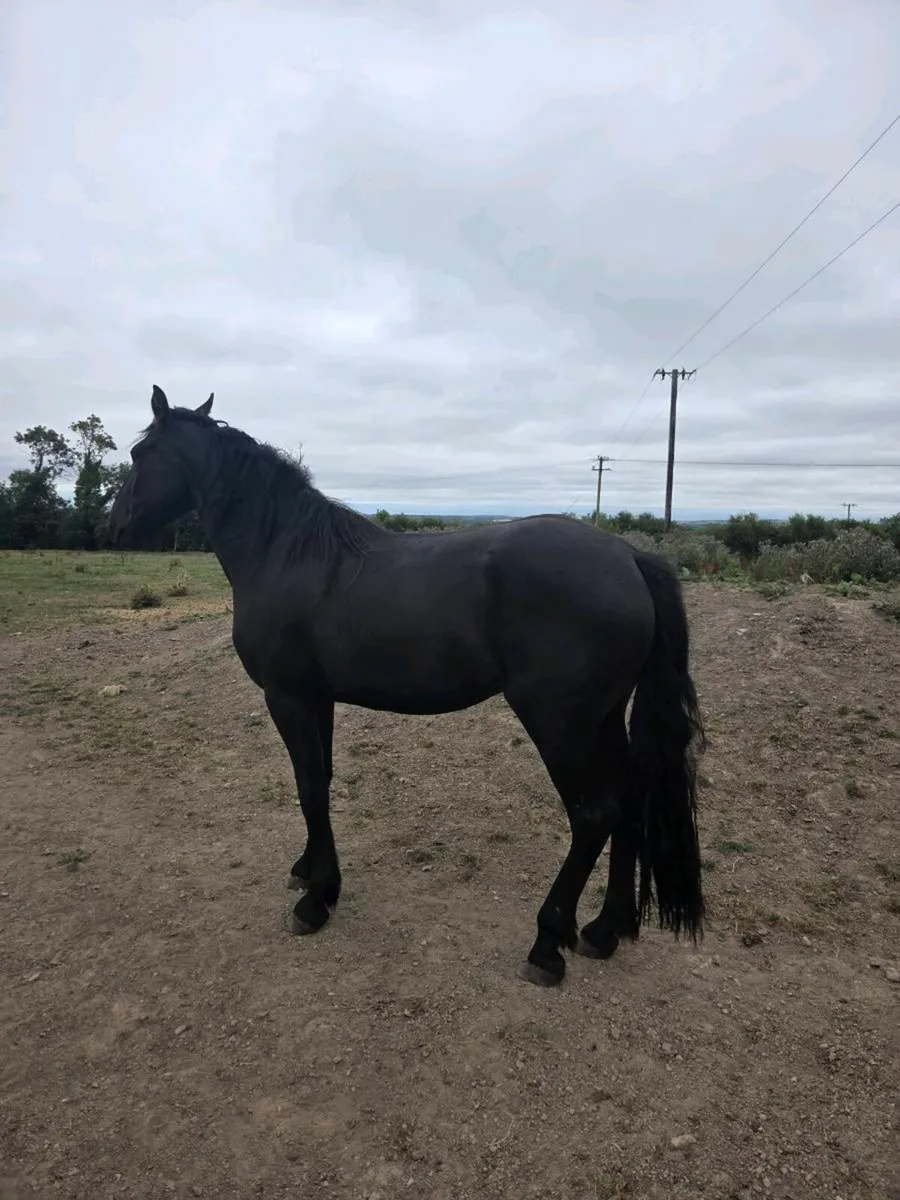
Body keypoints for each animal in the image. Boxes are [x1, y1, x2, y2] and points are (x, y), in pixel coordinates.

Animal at [109, 385, 706, 987]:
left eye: (140, 454)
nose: (114, 526)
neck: (285, 553)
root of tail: (629, 556)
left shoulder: (288, 697)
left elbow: (309, 787)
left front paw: (316, 901)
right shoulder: (317, 699)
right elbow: (320, 780)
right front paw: (309, 871)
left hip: (559, 723)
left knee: (593, 814)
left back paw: (547, 944)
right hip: (603, 719)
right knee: (629, 801)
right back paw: (604, 931)